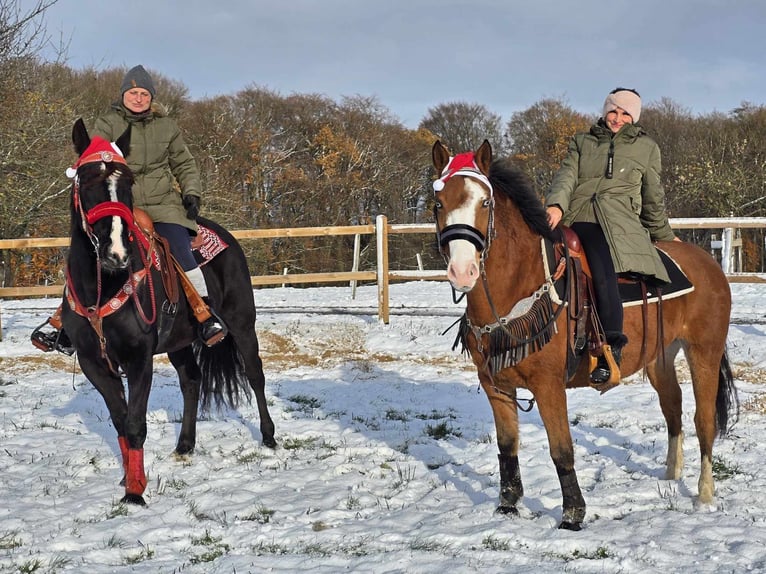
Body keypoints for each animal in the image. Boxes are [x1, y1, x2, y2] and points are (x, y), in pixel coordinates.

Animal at [60, 119, 276, 506]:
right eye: (86, 180)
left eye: (127, 183)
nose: (116, 253)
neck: (104, 284)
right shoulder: (93, 362)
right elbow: (120, 421)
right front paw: (130, 478)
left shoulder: (139, 359)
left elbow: (135, 424)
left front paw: (135, 493)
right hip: (179, 342)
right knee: (191, 381)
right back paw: (185, 445)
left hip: (242, 325)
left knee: (255, 375)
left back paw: (268, 436)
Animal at [432, 140, 736, 532]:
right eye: (438, 203)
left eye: (485, 202)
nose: (462, 270)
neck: (521, 284)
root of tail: (709, 262)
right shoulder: (496, 385)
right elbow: (507, 446)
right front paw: (508, 505)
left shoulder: (548, 386)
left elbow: (561, 449)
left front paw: (572, 515)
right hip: (661, 355)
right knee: (673, 407)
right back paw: (671, 475)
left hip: (703, 352)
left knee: (704, 420)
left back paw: (704, 493)